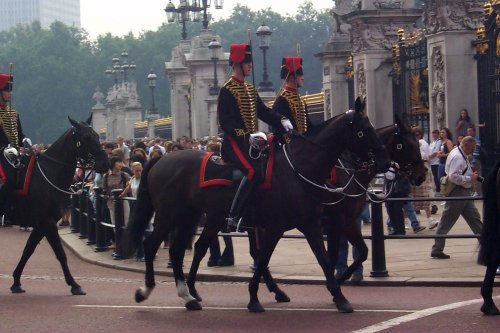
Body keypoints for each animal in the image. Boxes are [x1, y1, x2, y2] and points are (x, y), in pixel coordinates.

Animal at [9, 116, 108, 294]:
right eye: (86, 137)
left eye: (98, 135)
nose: (105, 163)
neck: (48, 174)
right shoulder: (47, 222)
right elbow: (60, 253)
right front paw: (74, 285)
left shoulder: (43, 223)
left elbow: (28, 249)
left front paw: (16, 281)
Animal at [124, 97, 390, 312]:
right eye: (364, 130)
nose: (385, 161)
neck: (299, 169)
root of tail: (161, 159)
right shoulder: (277, 226)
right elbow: (263, 259)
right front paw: (254, 299)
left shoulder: (311, 223)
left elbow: (323, 258)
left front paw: (339, 295)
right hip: (169, 215)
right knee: (151, 245)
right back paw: (146, 291)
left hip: (192, 216)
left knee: (182, 250)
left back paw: (188, 296)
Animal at [324, 116, 426, 282]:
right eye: (410, 145)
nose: (421, 176)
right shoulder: (334, 221)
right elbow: (331, 258)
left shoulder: (348, 221)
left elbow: (363, 251)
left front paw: (345, 276)